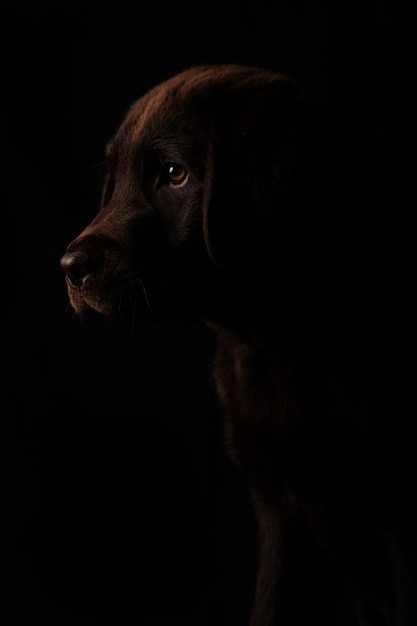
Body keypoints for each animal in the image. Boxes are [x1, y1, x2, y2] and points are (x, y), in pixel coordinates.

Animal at [60, 66, 414, 620]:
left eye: (174, 174)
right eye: (113, 183)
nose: (70, 267)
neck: (279, 338)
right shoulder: (280, 510)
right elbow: (269, 606)